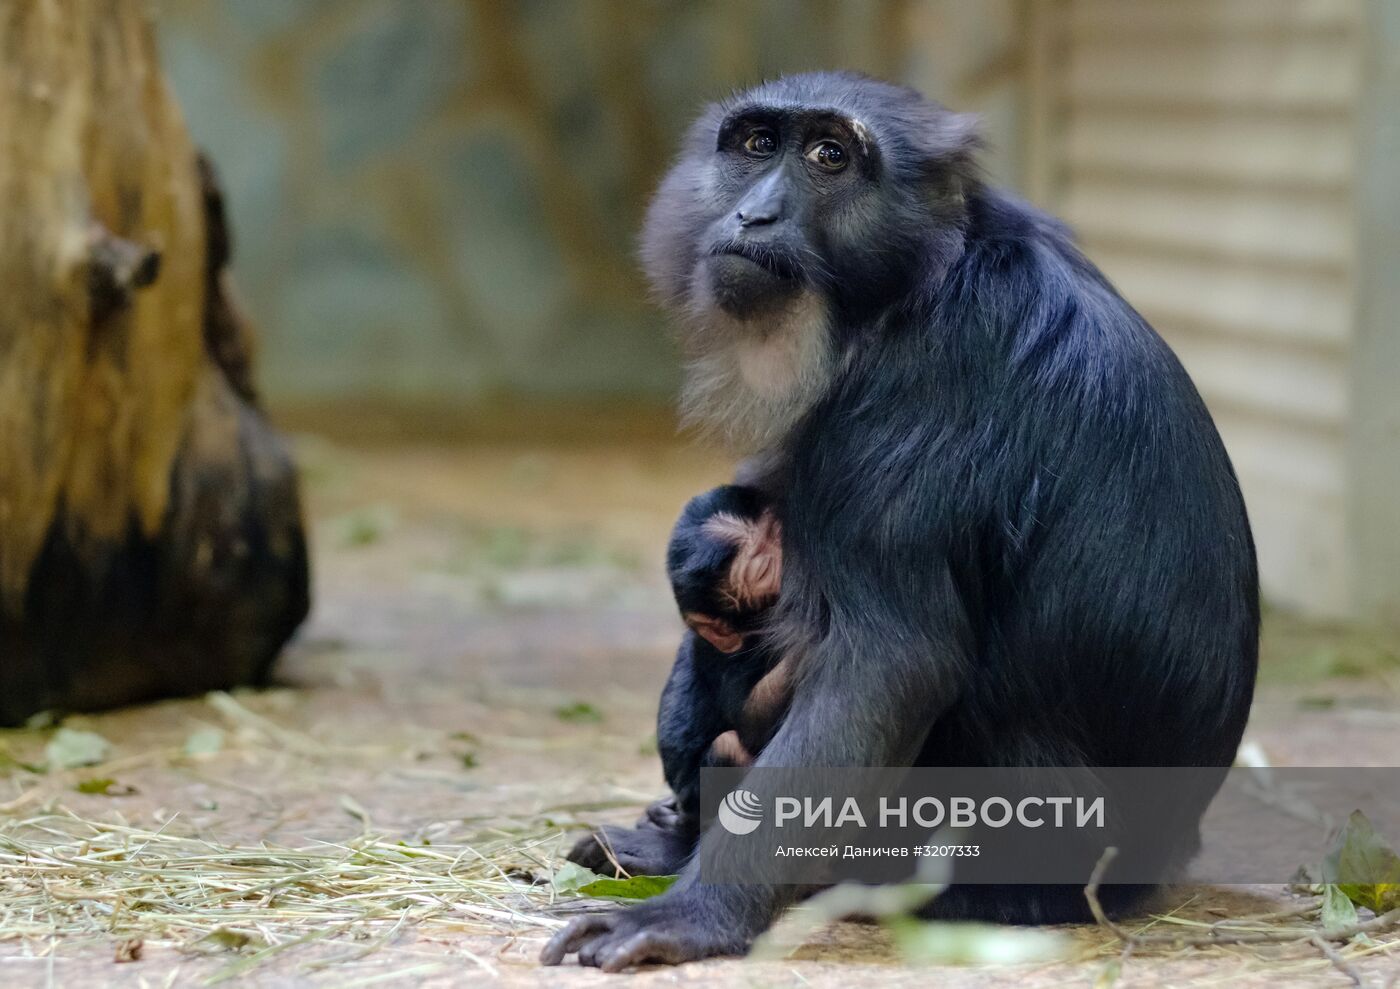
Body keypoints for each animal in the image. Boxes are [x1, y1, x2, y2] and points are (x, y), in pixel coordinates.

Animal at [543, 73, 1260, 969]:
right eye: (757, 146)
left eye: (829, 156)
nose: (754, 215)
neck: (918, 279)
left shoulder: (925, 382)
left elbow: (891, 661)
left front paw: (693, 912)